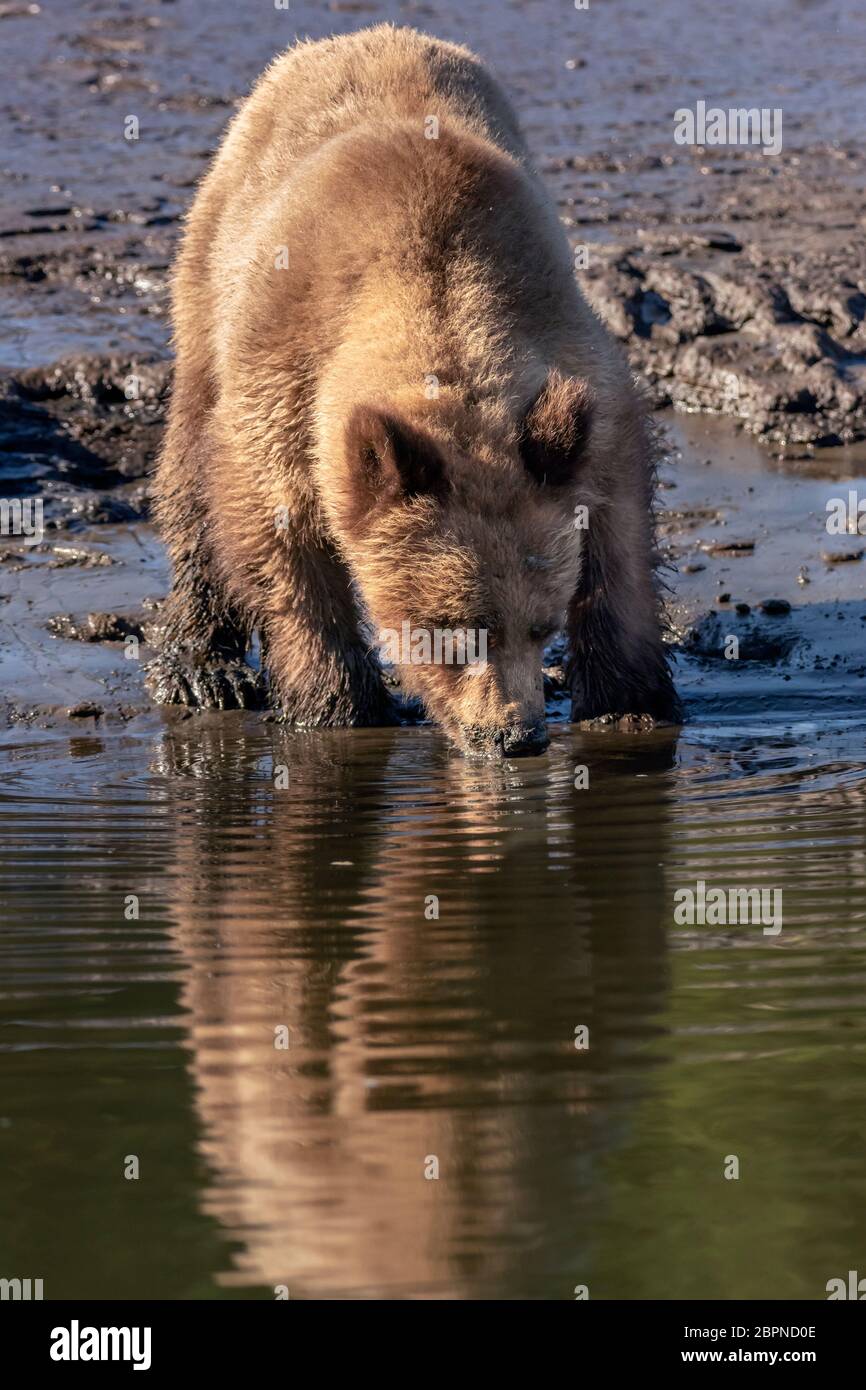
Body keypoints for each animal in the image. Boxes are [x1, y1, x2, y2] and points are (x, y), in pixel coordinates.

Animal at [148, 21, 681, 756]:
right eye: (453, 632)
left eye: (542, 625)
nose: (515, 735)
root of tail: (355, 34)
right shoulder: (286, 369)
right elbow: (276, 534)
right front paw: (333, 705)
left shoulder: (571, 366)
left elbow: (618, 529)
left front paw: (630, 702)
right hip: (211, 265)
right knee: (188, 460)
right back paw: (202, 671)